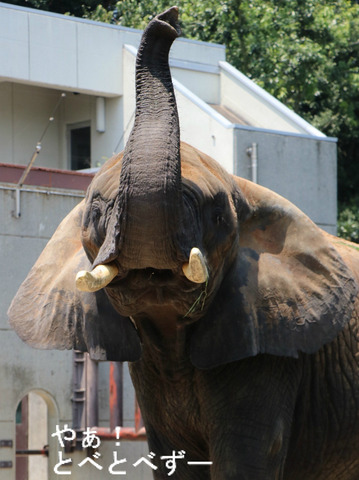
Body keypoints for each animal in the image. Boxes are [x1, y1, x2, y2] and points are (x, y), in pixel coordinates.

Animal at [7, 7, 359, 480]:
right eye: (96, 214)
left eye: (217, 215)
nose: (170, 18)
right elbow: (173, 459)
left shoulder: (268, 341)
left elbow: (243, 458)